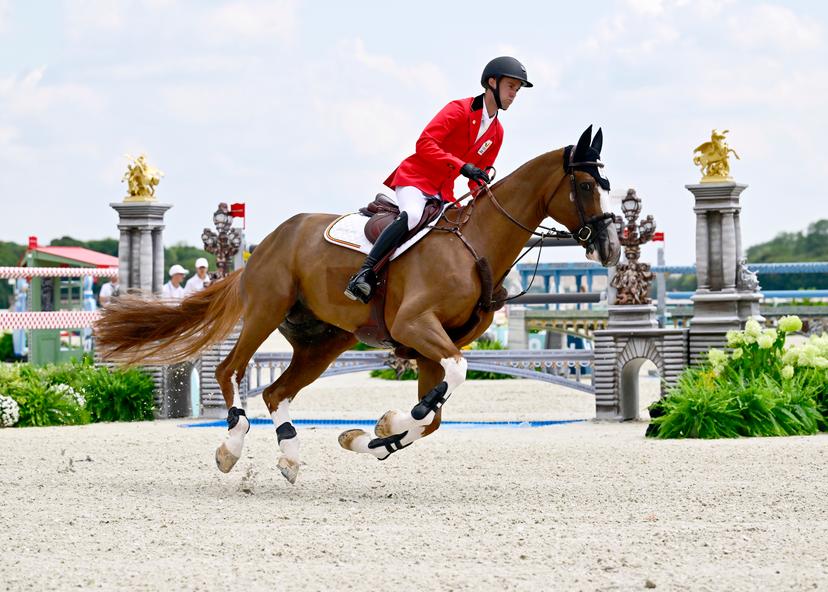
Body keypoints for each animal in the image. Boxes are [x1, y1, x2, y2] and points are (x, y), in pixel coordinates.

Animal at [95, 125, 621, 484]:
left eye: (607, 185)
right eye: (586, 186)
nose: (611, 248)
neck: (476, 246)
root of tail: (264, 244)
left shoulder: (428, 347)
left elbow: (432, 418)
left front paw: (373, 435)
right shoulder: (415, 326)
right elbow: (450, 381)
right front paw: (389, 424)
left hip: (326, 340)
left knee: (276, 392)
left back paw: (290, 455)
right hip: (266, 310)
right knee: (230, 370)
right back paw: (231, 445)